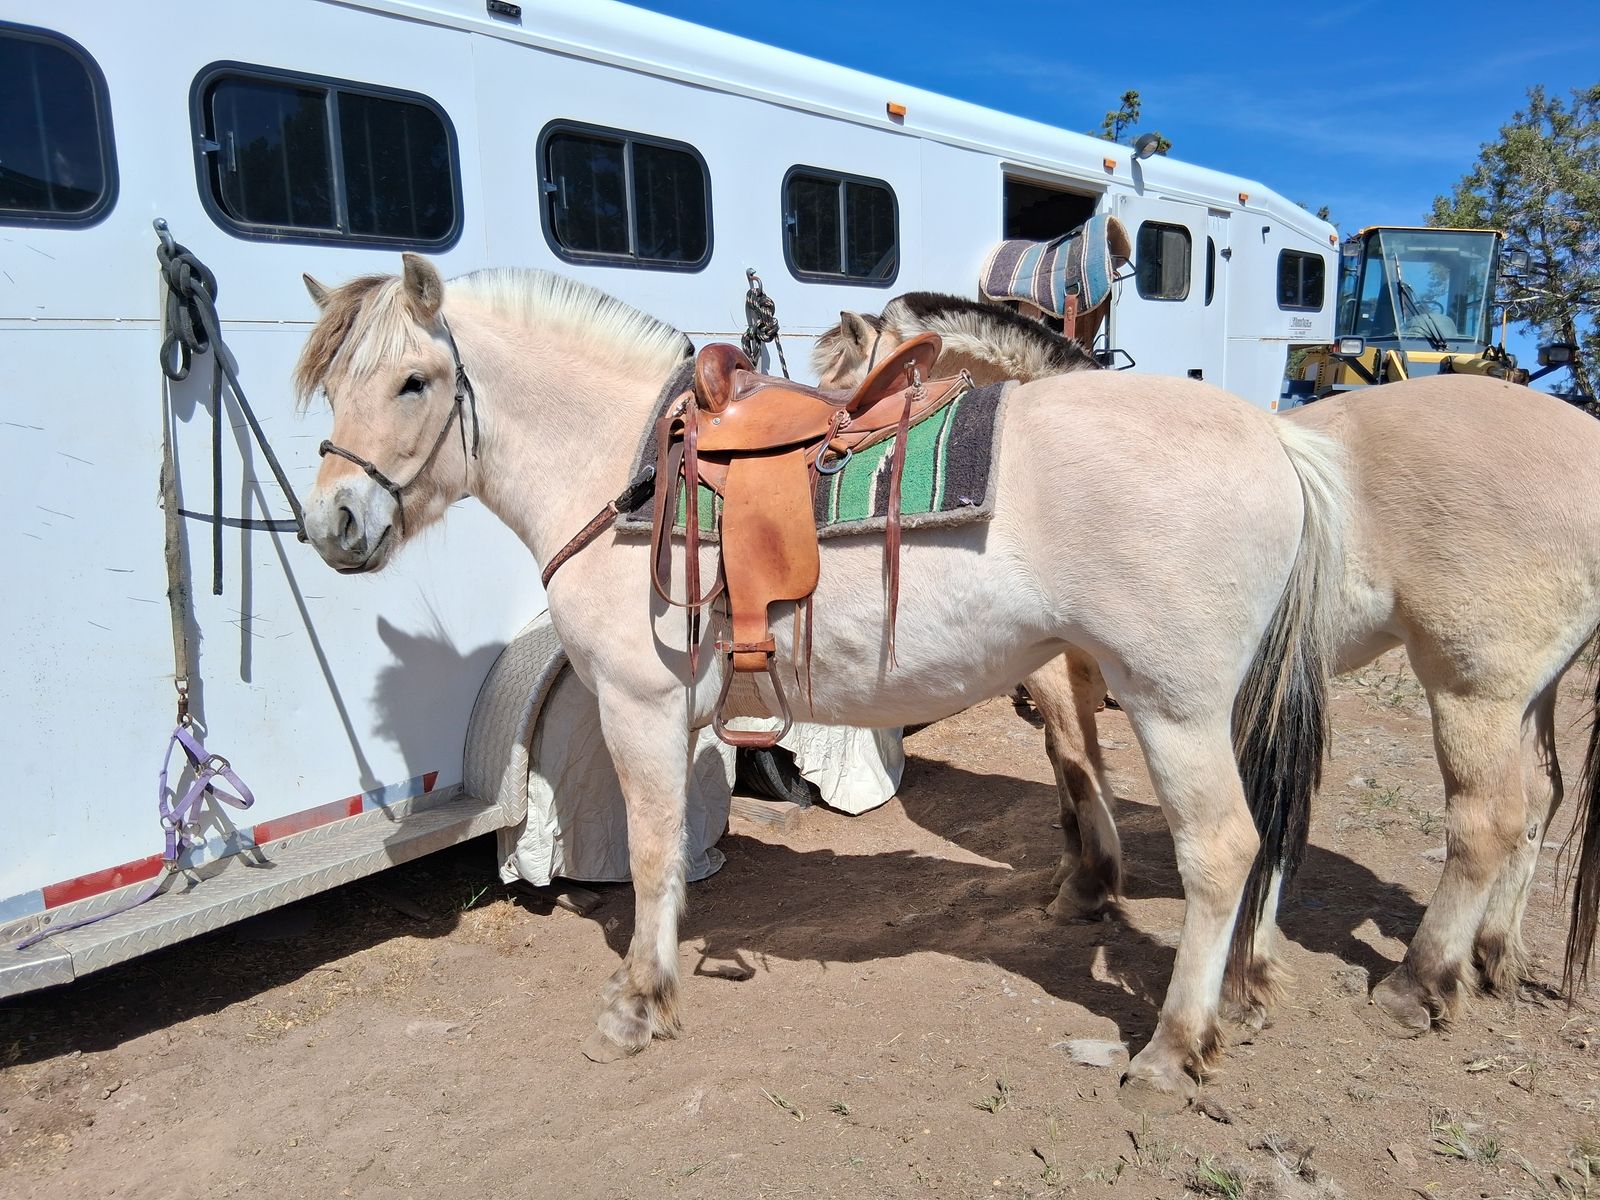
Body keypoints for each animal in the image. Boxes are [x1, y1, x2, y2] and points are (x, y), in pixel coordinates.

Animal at [293, 255, 1347, 1112]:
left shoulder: (639, 708)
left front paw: (636, 1005)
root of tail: (1275, 442)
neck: (628, 474)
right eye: (336, 385)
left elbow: (648, 853)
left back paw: (1170, 1050)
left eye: (415, 381)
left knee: (1222, 849)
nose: (333, 525)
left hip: (1177, 707)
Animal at [816, 293, 1600, 1033]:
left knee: (1486, 820)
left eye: (844, 386)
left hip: (1473, 688)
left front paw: (1088, 885)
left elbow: (1073, 765)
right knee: (1540, 799)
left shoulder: (1061, 672)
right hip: (1534, 689)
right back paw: (1494, 953)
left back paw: (1420, 981)